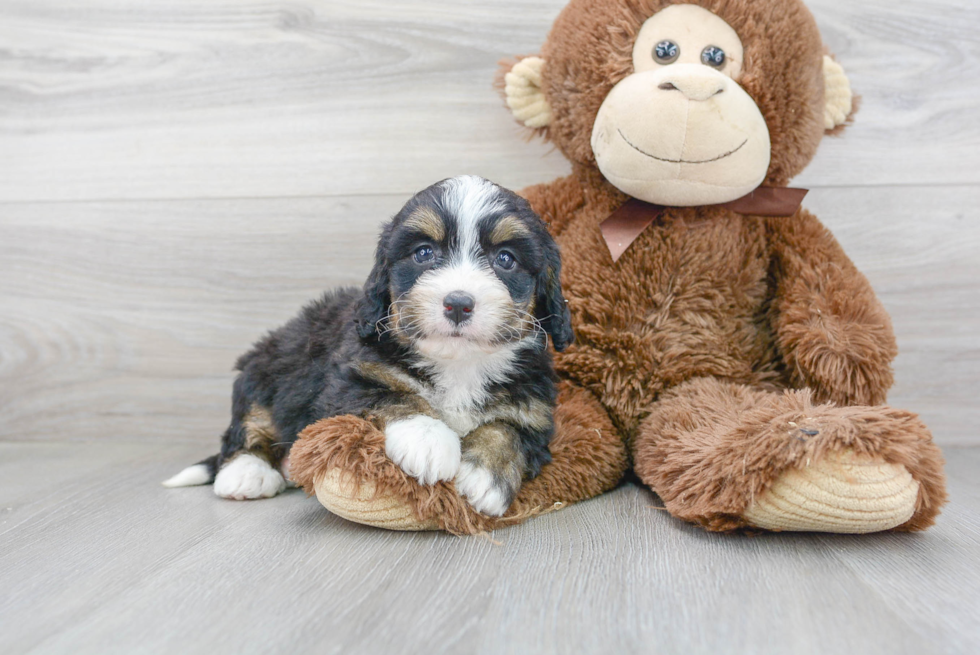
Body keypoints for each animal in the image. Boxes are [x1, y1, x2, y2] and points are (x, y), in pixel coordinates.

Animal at [164, 178, 572, 516]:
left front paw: (484, 475)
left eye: (505, 259)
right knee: (249, 425)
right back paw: (247, 472)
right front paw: (429, 441)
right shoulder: (350, 381)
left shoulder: (534, 410)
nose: (458, 303)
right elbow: (394, 396)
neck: (458, 364)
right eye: (423, 253)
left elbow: (507, 430)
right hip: (265, 366)